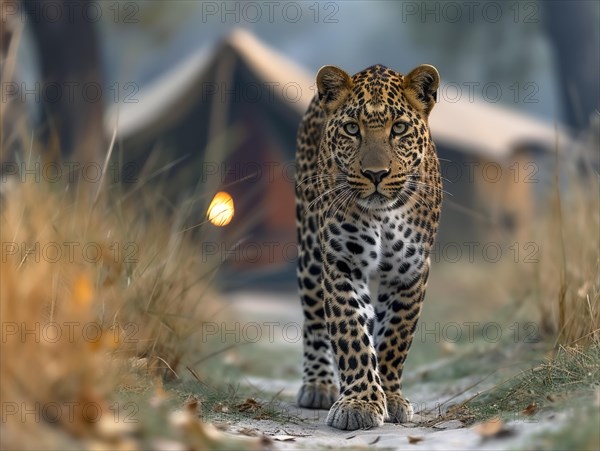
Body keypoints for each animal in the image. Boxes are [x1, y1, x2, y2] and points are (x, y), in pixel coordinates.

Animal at [294, 63, 440, 430]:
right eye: (351, 129)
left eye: (399, 128)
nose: (376, 174)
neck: (384, 214)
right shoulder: (342, 262)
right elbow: (351, 333)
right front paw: (359, 402)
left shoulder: (411, 270)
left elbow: (395, 337)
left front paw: (390, 397)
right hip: (309, 254)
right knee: (314, 320)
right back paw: (318, 385)